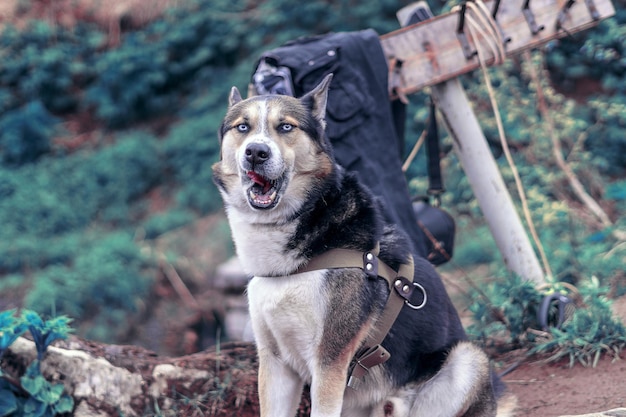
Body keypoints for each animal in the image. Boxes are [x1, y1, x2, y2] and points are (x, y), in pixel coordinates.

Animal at [212, 75, 516, 416]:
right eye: (243, 127)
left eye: (286, 127)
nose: (256, 152)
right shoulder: (275, 363)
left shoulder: (329, 362)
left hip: (467, 359)